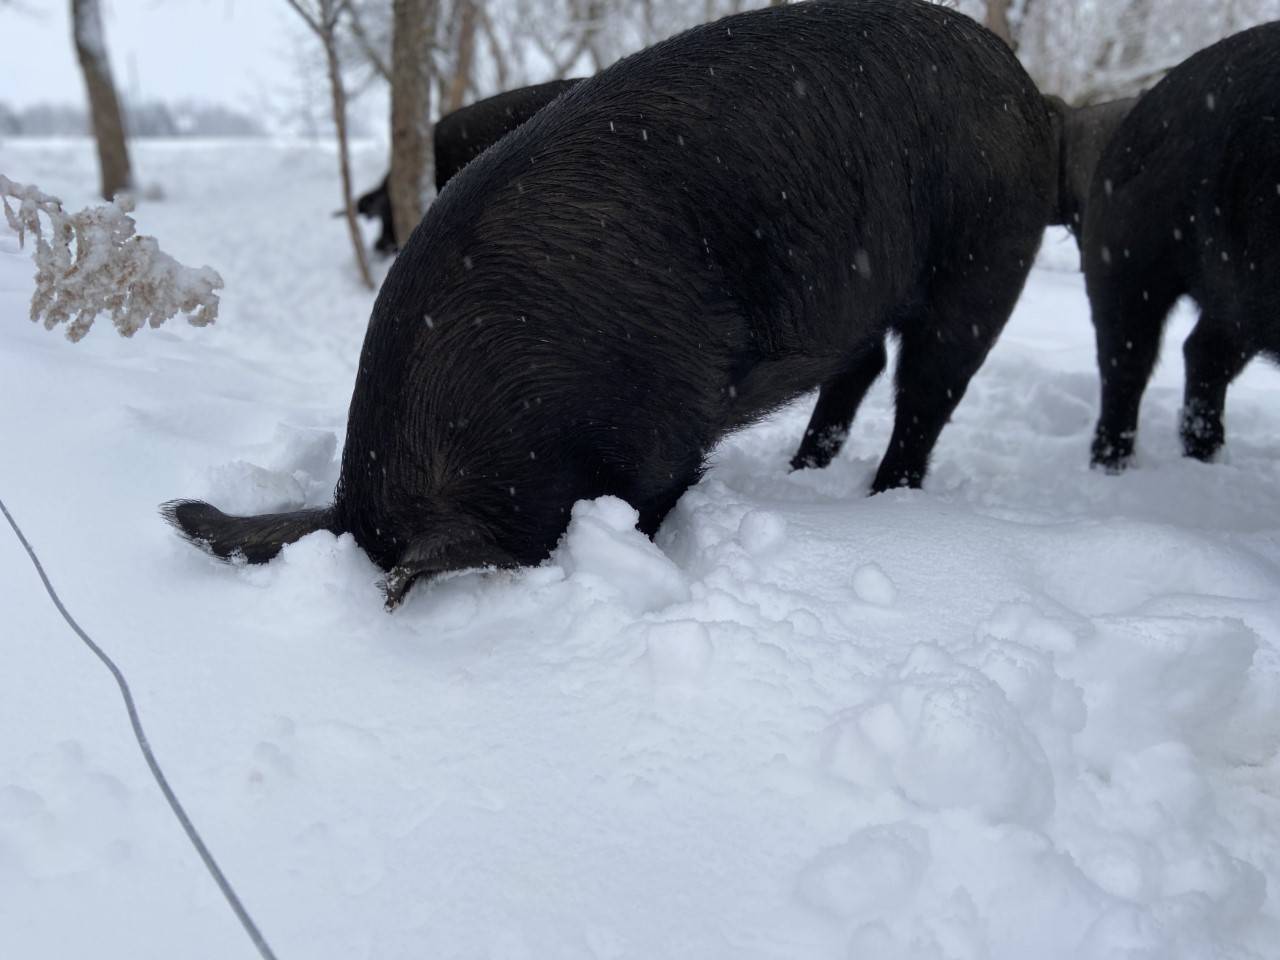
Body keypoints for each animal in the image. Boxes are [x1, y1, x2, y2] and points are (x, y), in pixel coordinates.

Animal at [165, 1, 1054, 609]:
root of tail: (1030, 91)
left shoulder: (664, 428)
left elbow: (654, 494)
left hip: (985, 259)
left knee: (928, 390)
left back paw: (884, 497)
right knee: (860, 367)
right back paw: (805, 469)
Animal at [1085, 24, 1280, 471]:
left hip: (1236, 301)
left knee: (1202, 350)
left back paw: (1206, 458)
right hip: (1123, 262)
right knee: (1125, 362)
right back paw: (1111, 466)